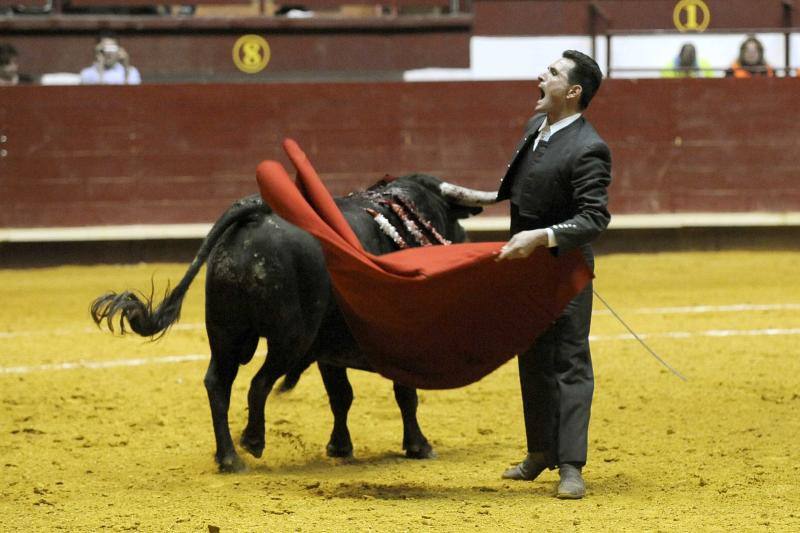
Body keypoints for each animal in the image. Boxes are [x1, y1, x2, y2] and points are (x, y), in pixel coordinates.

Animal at [92, 174, 482, 470]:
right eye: (457, 221)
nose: (466, 243)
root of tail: (257, 214)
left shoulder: (331, 351)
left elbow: (341, 396)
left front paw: (340, 447)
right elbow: (404, 395)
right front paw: (419, 446)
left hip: (225, 332)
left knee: (218, 383)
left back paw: (229, 458)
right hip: (289, 338)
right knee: (258, 383)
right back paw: (252, 441)